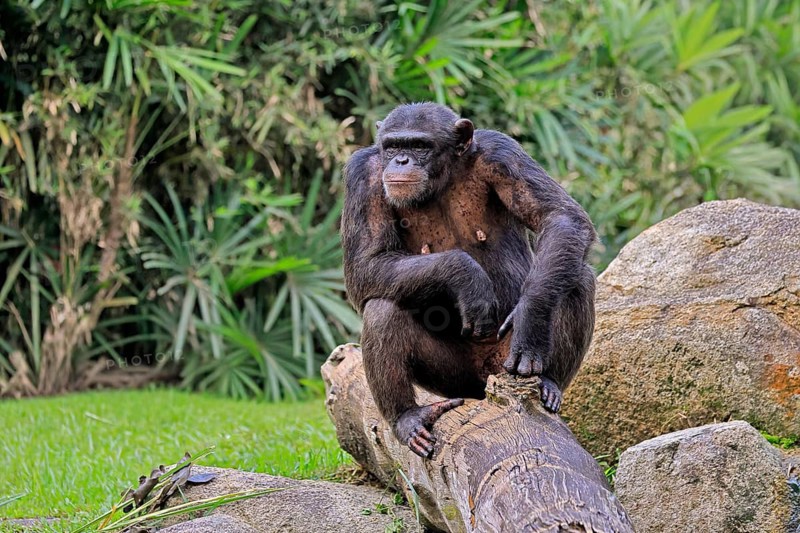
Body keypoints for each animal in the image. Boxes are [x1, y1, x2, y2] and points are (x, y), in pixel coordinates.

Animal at [341, 103, 596, 459]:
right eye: (392, 146)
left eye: (419, 146)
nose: (400, 160)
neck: (441, 180)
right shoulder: (362, 175)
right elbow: (366, 262)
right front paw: (466, 276)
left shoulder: (502, 153)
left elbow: (560, 216)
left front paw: (530, 319)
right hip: (454, 380)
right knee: (382, 308)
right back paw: (407, 417)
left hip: (503, 361)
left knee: (576, 278)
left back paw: (549, 382)